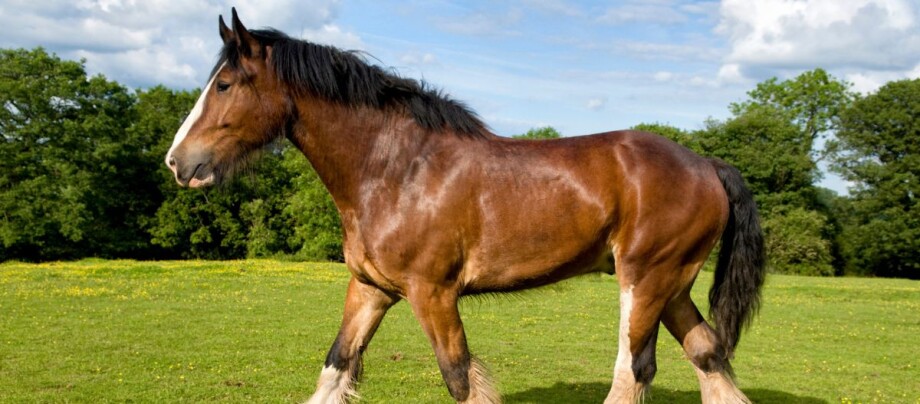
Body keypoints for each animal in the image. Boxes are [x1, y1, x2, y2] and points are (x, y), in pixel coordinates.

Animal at [165, 9, 765, 404]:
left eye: (224, 84)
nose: (178, 161)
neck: (396, 170)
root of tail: (706, 164)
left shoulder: (433, 295)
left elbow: (459, 378)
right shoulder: (371, 289)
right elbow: (336, 369)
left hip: (644, 280)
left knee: (633, 370)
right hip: (672, 285)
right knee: (707, 355)